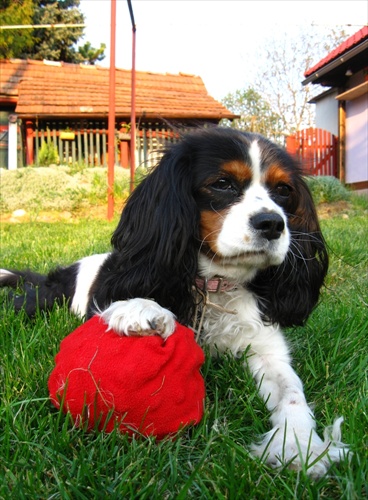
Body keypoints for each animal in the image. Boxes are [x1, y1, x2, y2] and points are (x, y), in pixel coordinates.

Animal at [0, 127, 346, 474]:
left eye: (283, 190)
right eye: (223, 183)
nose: (272, 223)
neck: (215, 284)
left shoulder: (266, 349)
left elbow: (291, 391)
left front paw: (299, 444)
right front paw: (139, 307)